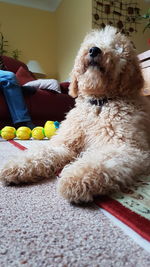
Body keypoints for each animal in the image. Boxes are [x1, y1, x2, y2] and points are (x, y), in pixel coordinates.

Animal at [0, 26, 150, 203]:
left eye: (116, 47)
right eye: (90, 43)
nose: (94, 50)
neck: (98, 104)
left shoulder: (125, 147)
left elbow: (99, 161)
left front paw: (76, 179)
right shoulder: (64, 143)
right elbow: (42, 152)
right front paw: (16, 166)